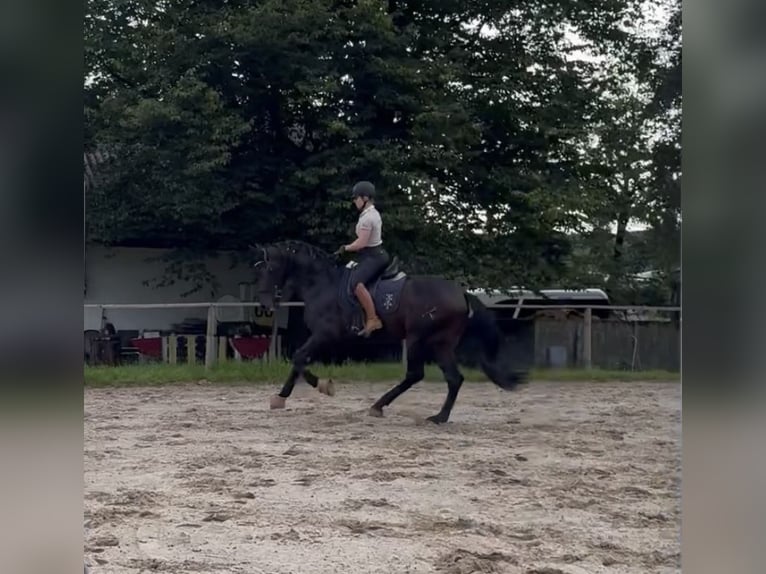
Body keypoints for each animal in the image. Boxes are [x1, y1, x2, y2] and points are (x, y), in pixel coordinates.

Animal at [252, 241, 528, 426]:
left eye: (268, 270)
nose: (265, 305)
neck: (321, 285)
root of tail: (461, 292)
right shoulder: (322, 337)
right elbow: (300, 360)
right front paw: (286, 396)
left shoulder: (324, 334)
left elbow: (299, 358)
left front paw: (317, 388)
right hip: (441, 343)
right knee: (453, 378)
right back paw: (438, 416)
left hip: (419, 339)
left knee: (416, 374)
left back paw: (384, 407)